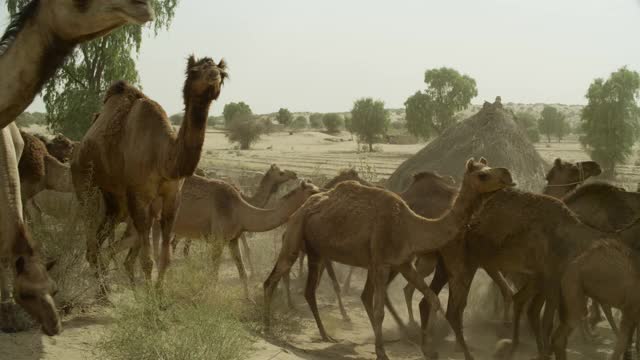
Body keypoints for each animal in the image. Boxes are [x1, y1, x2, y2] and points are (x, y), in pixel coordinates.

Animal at [72, 55, 228, 292]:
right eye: (194, 71)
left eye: (222, 74)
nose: (213, 77)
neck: (163, 156)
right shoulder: (138, 197)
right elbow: (146, 260)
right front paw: (149, 298)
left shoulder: (173, 197)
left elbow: (166, 258)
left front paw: (159, 294)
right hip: (84, 184)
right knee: (91, 239)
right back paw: (104, 293)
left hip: (115, 202)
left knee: (99, 241)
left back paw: (104, 290)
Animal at [262, 158, 516, 360]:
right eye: (483, 174)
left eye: (489, 166)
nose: (508, 174)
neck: (411, 225)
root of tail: (302, 207)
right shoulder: (382, 263)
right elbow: (380, 309)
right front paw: (382, 352)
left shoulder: (403, 262)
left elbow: (432, 298)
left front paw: (429, 349)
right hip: (294, 236)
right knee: (272, 279)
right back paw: (267, 328)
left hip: (317, 251)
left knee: (309, 290)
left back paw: (325, 335)